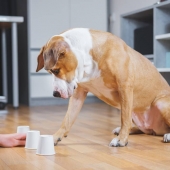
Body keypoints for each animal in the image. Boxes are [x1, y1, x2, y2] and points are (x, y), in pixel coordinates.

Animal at [36, 27, 170, 146]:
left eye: (56, 70)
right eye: (50, 72)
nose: (55, 94)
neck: (88, 57)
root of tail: (154, 129)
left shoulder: (125, 87)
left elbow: (124, 118)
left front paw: (121, 140)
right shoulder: (78, 94)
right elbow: (67, 119)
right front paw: (55, 137)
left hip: (160, 102)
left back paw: (166, 135)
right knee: (141, 128)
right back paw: (123, 130)